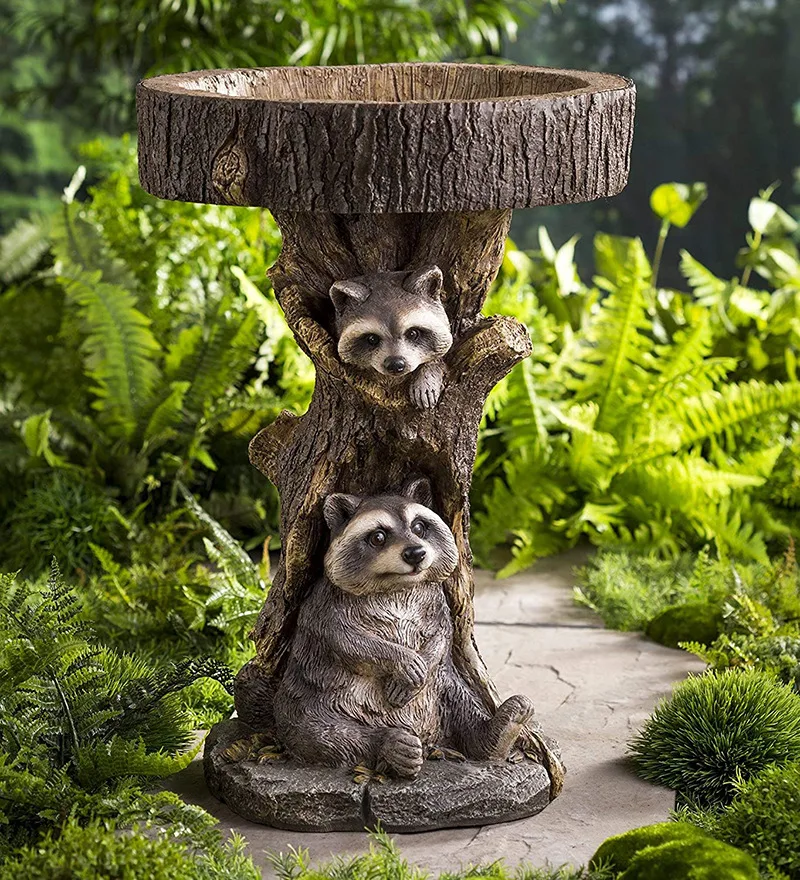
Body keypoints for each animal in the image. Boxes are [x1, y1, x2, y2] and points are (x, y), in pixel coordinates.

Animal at [273, 477, 534, 779]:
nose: (415, 553)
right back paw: (391, 746)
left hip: (443, 688)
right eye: (378, 537)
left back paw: (498, 730)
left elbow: (442, 635)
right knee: (316, 731)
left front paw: (424, 660)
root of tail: (424, 736)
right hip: (305, 698)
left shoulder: (436, 600)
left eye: (419, 527)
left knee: (463, 705)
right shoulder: (324, 604)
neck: (396, 587)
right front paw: (402, 660)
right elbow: (347, 641)